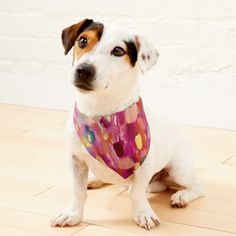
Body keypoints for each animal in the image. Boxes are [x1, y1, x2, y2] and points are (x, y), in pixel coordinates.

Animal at [50, 18, 204, 230]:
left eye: (118, 51)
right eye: (82, 40)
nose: (83, 70)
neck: (103, 114)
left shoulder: (144, 166)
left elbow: (136, 193)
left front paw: (143, 214)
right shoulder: (75, 159)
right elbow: (78, 191)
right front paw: (72, 214)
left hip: (179, 170)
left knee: (196, 187)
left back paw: (181, 196)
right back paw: (95, 180)